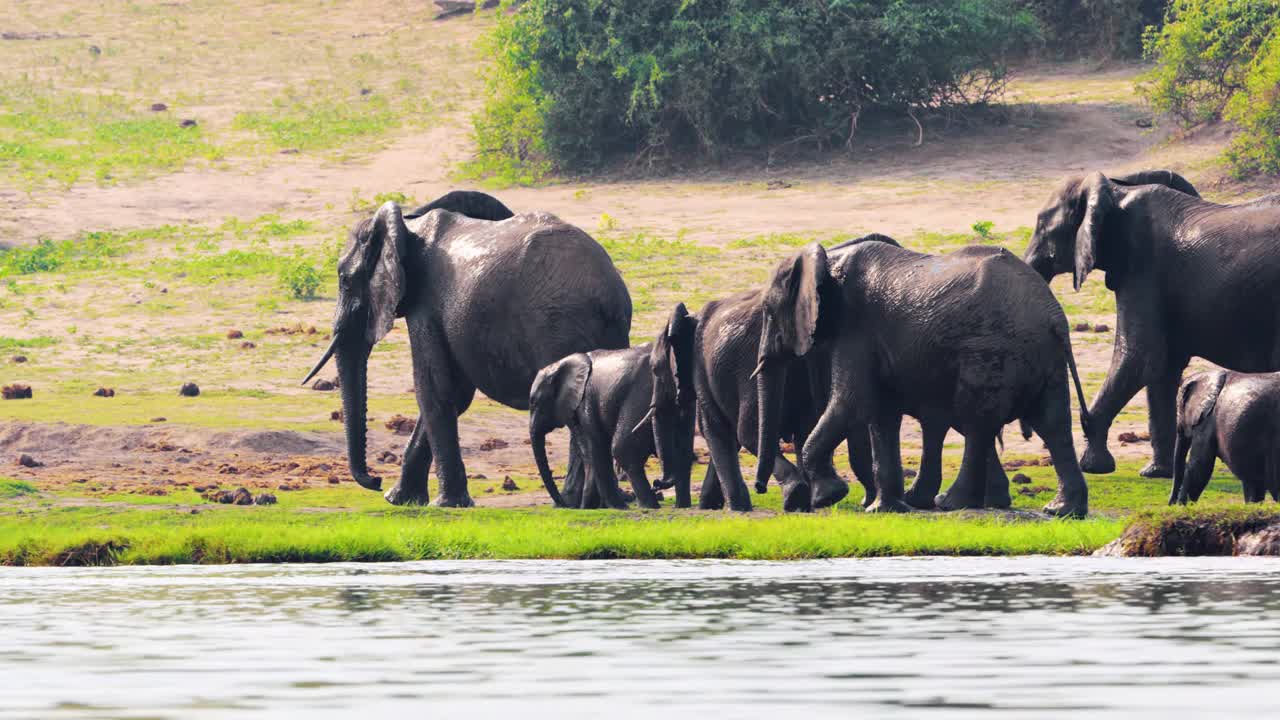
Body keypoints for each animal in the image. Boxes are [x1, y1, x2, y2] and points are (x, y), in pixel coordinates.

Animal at [300, 190, 629, 504]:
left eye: (345, 281)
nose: (375, 480)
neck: (409, 226)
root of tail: (608, 293)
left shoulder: (427, 303)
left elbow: (434, 389)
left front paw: (444, 504)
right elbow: (455, 394)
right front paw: (400, 500)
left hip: (556, 323)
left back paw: (572, 500)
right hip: (606, 330)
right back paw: (594, 501)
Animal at [527, 304, 701, 507]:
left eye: (534, 402)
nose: (562, 504)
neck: (561, 364)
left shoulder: (585, 400)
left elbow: (595, 449)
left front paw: (612, 507)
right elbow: (588, 453)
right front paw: (589, 507)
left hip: (640, 393)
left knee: (623, 449)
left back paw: (648, 506)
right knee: (683, 452)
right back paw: (681, 505)